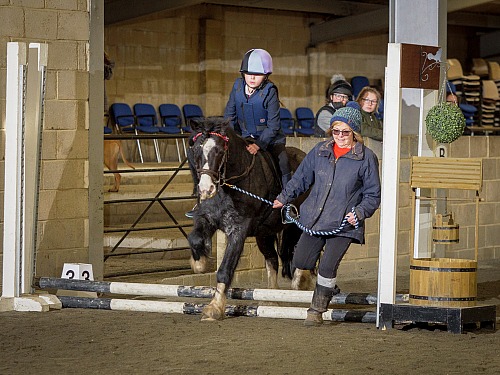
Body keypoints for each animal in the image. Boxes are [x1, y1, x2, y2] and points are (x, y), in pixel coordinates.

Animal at [188, 117, 304, 320]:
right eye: (196, 150)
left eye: (220, 151)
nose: (205, 190)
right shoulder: (207, 218)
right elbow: (194, 239)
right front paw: (200, 263)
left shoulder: (238, 230)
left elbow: (225, 269)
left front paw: (214, 308)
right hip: (264, 233)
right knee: (272, 259)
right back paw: (271, 299)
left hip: (297, 226)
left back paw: (301, 281)